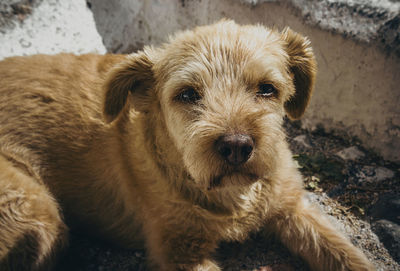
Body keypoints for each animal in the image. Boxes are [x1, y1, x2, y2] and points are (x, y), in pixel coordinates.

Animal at [0, 20, 376, 270]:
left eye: (267, 88)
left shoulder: (292, 208)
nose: (237, 147)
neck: (234, 195)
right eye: (187, 94)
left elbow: (348, 255)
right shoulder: (180, 248)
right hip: (36, 215)